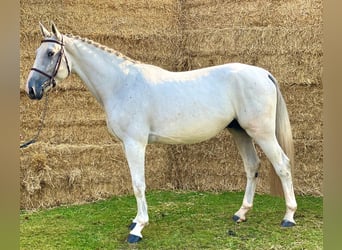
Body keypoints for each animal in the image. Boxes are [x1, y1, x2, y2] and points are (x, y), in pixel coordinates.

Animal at [25, 23, 296, 242]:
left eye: (50, 53)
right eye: (38, 52)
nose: (31, 89)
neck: (121, 84)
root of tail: (263, 73)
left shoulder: (135, 143)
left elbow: (138, 184)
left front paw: (138, 229)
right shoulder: (127, 144)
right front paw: (136, 221)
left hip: (261, 133)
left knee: (282, 165)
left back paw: (289, 217)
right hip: (241, 132)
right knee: (252, 166)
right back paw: (241, 213)